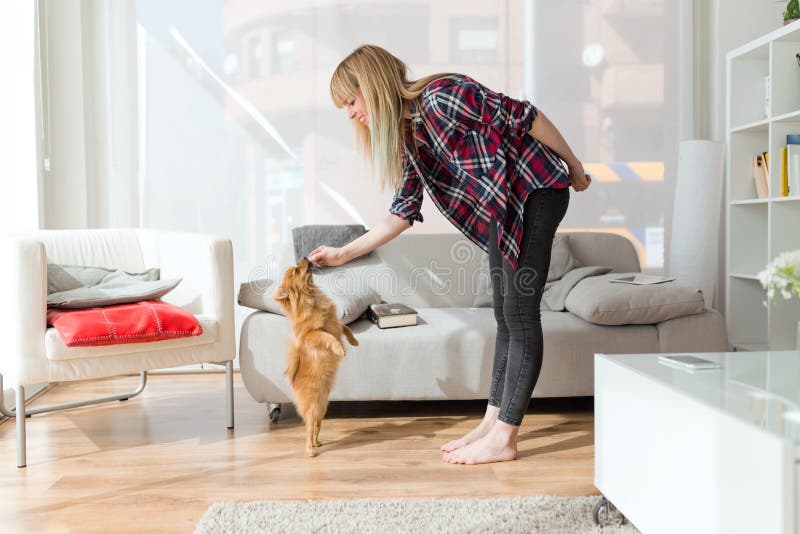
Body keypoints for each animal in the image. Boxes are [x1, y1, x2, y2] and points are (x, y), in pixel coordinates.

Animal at [274, 258, 358, 456]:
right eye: (297, 271)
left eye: (299, 265)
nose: (306, 258)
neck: (312, 297)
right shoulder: (313, 334)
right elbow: (328, 337)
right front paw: (340, 349)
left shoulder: (336, 323)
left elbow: (345, 328)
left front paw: (353, 341)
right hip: (312, 409)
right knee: (308, 429)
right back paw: (310, 451)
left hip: (322, 409)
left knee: (316, 429)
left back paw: (317, 443)